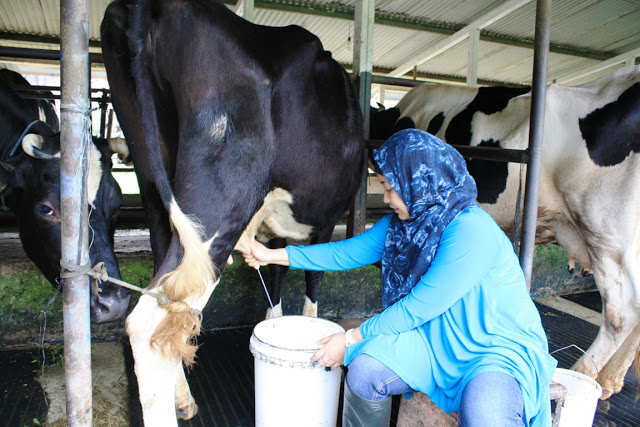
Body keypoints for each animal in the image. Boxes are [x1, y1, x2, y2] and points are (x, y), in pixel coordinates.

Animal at [101, 0, 364, 422]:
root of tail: (155, 5)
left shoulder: (277, 235)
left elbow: (276, 287)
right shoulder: (324, 223)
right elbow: (312, 292)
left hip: (155, 187)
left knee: (169, 300)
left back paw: (184, 399)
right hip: (220, 199)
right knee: (147, 323)